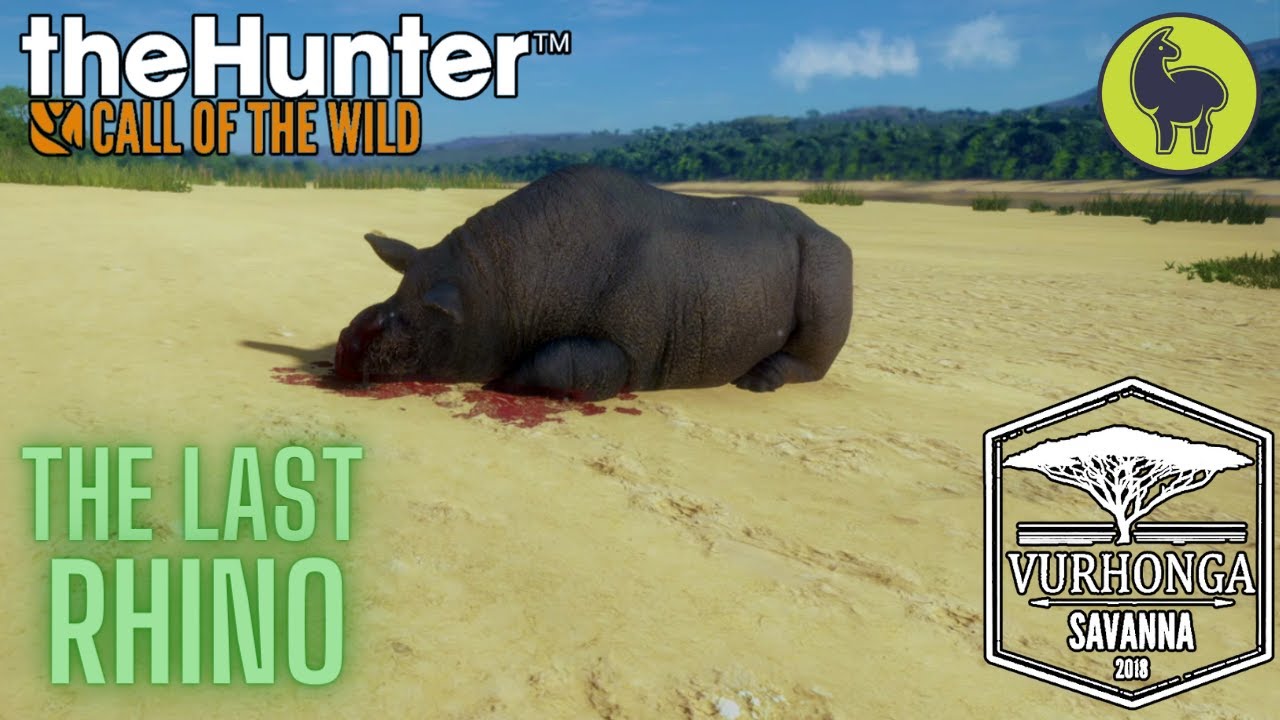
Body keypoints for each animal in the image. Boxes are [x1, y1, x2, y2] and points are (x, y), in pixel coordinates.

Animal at [334, 164, 853, 401]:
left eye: (410, 330)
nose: (344, 349)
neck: (490, 290)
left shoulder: (626, 355)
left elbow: (554, 363)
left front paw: (503, 380)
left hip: (827, 258)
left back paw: (757, 382)